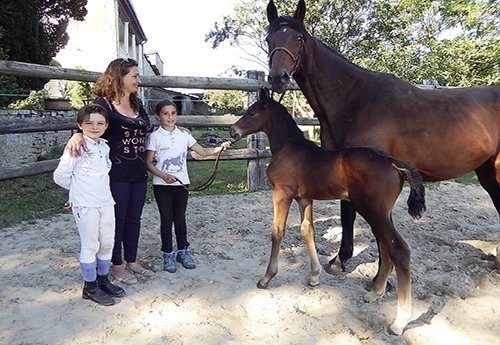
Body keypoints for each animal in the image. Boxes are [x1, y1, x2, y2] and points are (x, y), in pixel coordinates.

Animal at [229, 88, 424, 334]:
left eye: (252, 113)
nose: (232, 130)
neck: (288, 147)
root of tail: (391, 162)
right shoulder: (304, 198)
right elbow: (307, 231)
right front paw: (314, 277)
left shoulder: (281, 194)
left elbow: (277, 231)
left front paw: (266, 278)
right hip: (381, 213)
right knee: (385, 247)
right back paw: (375, 293)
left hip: (373, 211)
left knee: (399, 250)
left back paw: (400, 321)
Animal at [268, 0, 500, 270]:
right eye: (268, 38)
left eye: (298, 38)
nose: (277, 77)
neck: (356, 100)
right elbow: (346, 214)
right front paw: (342, 258)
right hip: (486, 170)